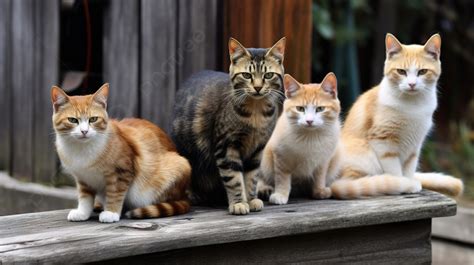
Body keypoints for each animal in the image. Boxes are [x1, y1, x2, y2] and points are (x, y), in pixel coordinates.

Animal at [51, 83, 191, 222]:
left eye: (93, 119)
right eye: (73, 120)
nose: (84, 131)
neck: (82, 149)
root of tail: (184, 195)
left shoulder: (121, 171)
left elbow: (115, 193)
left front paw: (111, 212)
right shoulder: (83, 178)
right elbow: (85, 197)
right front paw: (82, 212)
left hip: (178, 165)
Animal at [171, 37, 286, 213]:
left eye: (268, 75)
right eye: (246, 75)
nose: (258, 87)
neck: (256, 113)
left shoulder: (257, 150)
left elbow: (251, 178)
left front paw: (251, 200)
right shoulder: (226, 147)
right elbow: (234, 179)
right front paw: (238, 203)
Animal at [258, 73, 342, 203]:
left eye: (320, 109)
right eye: (300, 109)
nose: (309, 121)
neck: (310, 136)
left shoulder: (324, 160)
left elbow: (320, 176)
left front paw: (319, 191)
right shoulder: (281, 157)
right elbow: (282, 178)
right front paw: (281, 194)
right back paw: (264, 188)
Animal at [330, 33, 462, 198]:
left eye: (422, 72)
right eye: (401, 71)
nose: (412, 84)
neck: (413, 106)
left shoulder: (414, 146)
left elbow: (409, 168)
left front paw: (409, 182)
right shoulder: (383, 141)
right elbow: (394, 171)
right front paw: (402, 184)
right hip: (365, 157)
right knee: (351, 181)